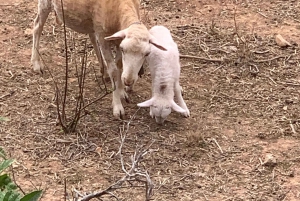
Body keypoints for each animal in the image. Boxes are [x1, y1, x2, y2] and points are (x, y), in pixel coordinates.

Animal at [31, 0, 166, 119]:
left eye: (147, 53)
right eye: (124, 50)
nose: (128, 81)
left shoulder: (117, 39)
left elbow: (119, 66)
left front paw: (121, 91)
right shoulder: (103, 36)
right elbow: (114, 71)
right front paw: (117, 107)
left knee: (91, 35)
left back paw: (103, 71)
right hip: (45, 4)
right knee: (37, 26)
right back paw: (36, 63)